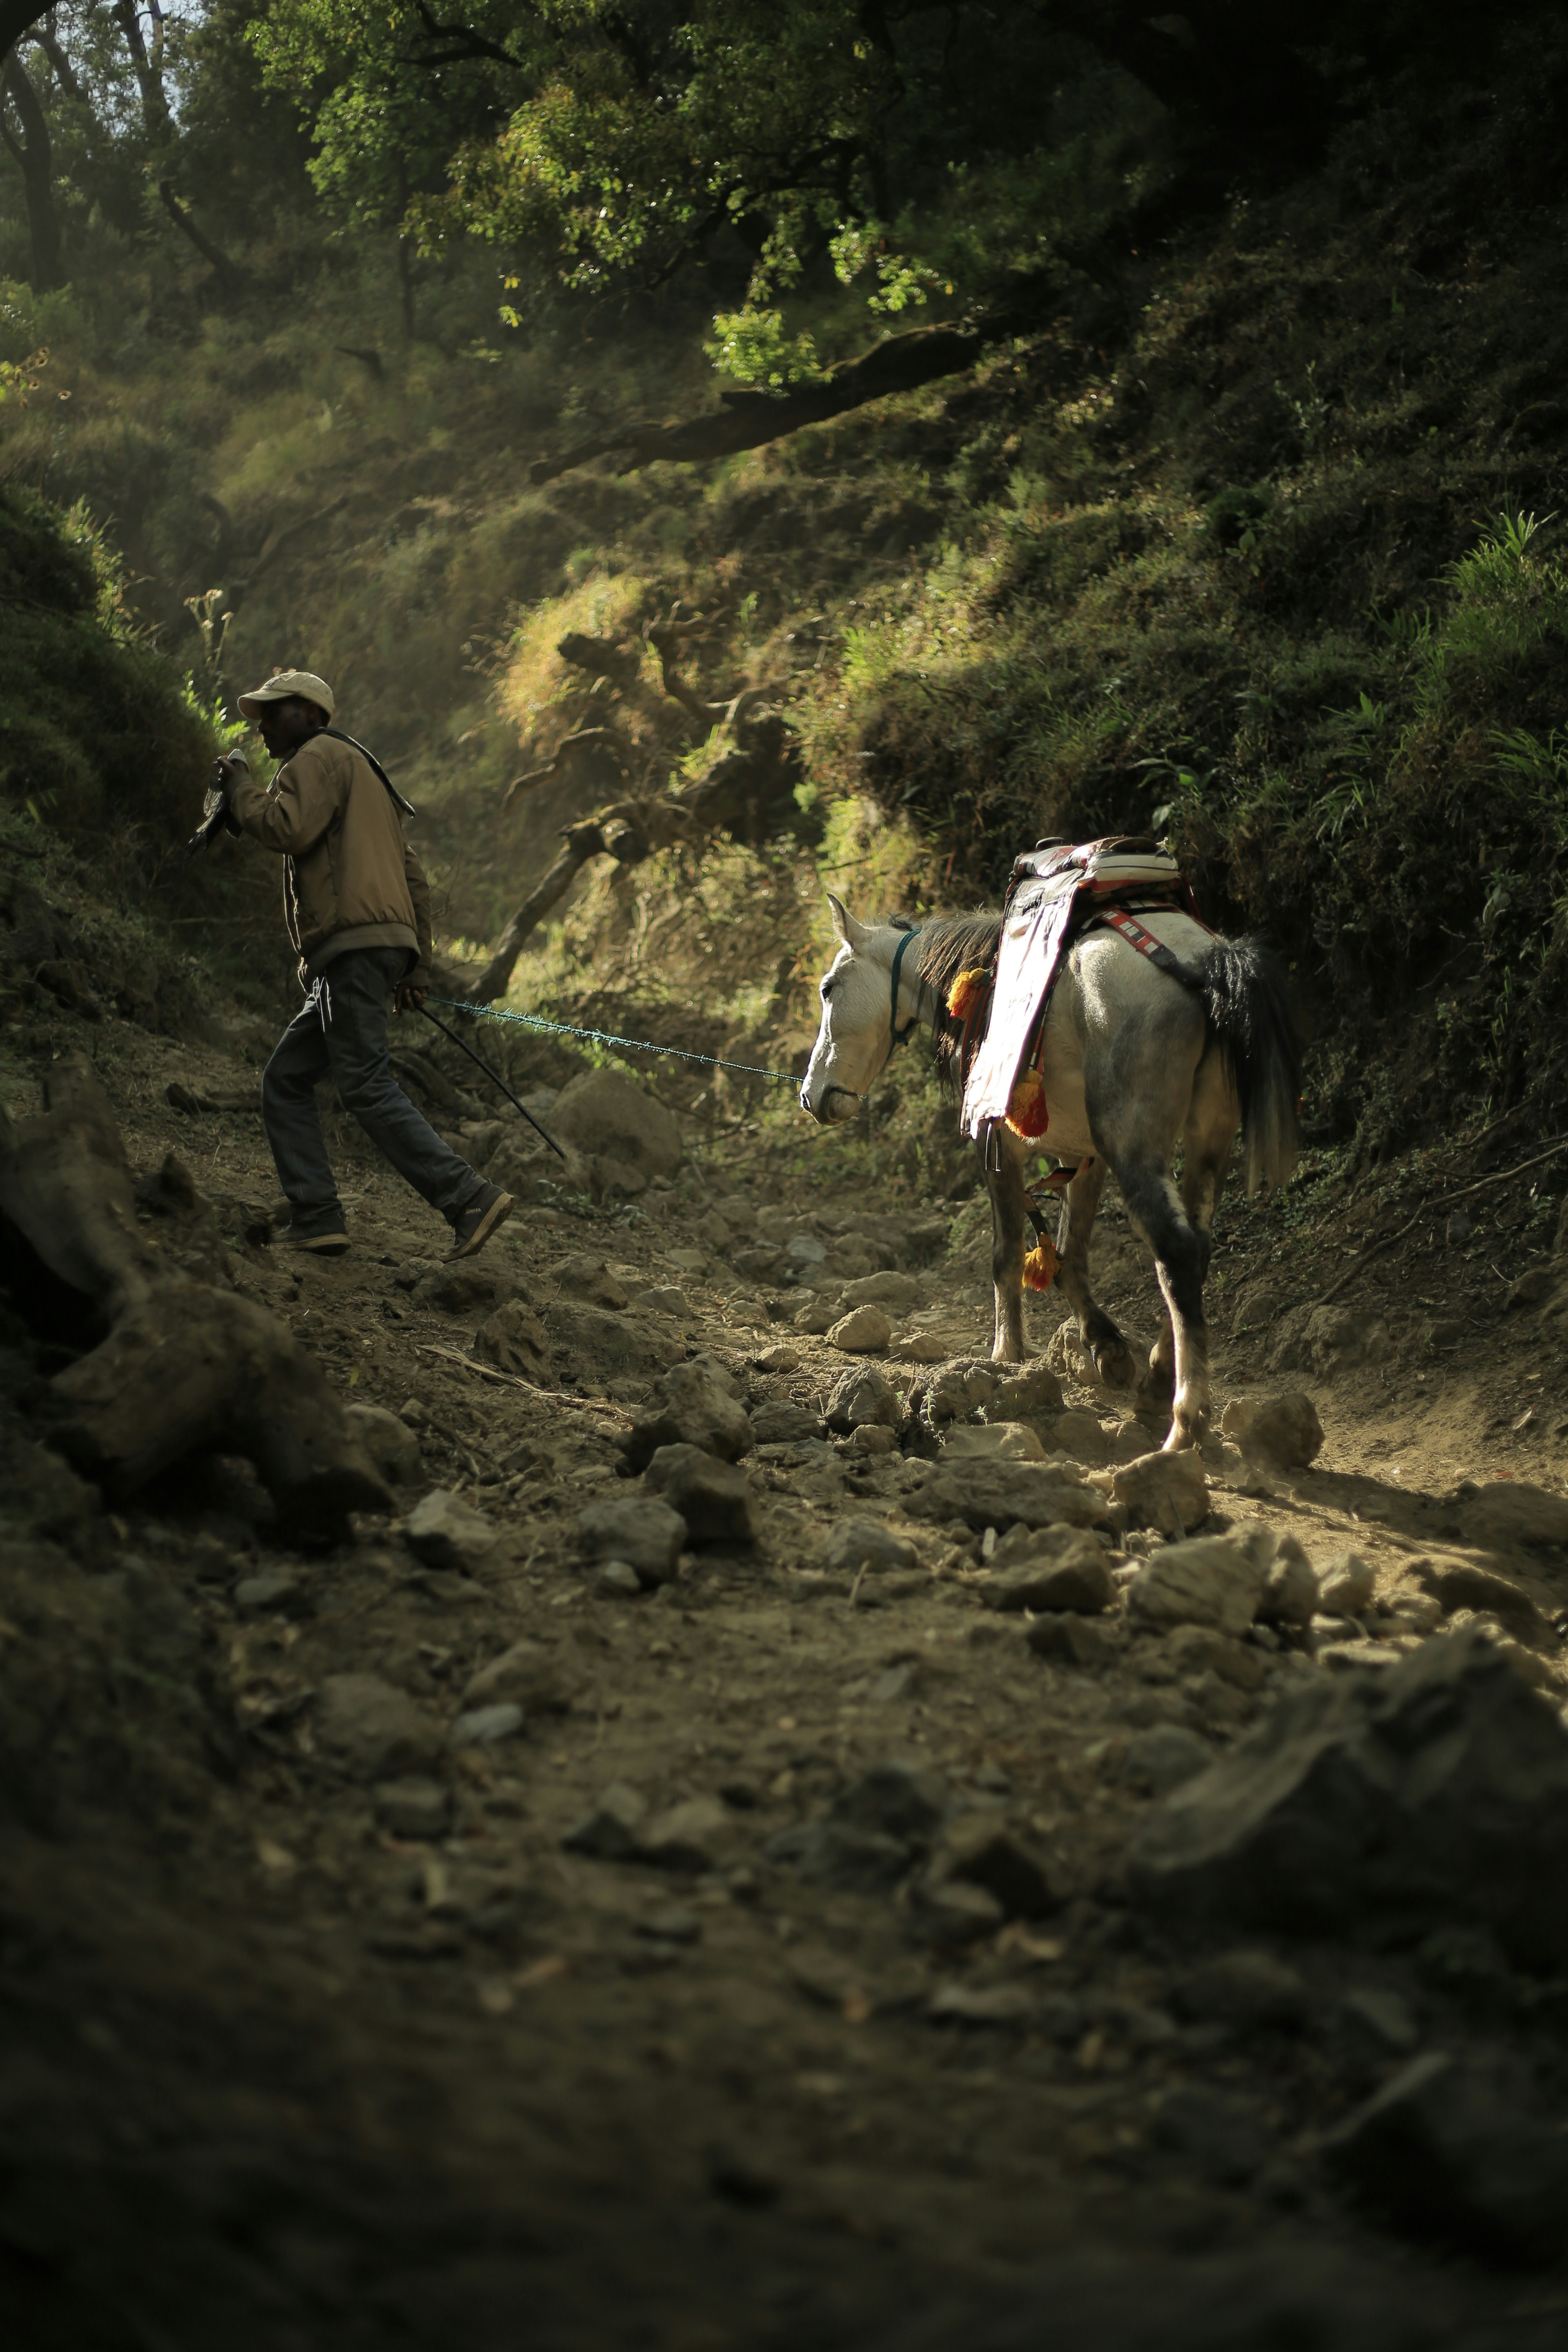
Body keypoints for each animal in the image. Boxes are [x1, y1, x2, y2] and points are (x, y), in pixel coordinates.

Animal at [799, 893, 1297, 1449]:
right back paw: (1156, 1384)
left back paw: (1185, 1421)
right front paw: (1108, 1348)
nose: (812, 1095)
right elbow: (1067, 1258)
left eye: (828, 989)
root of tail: (1205, 960)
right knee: (1198, 1249)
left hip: (1133, 1142)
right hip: (1207, 1140)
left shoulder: (999, 1143)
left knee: (1177, 1250)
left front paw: (1006, 1356)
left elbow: (1007, 1255)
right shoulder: (1083, 1156)